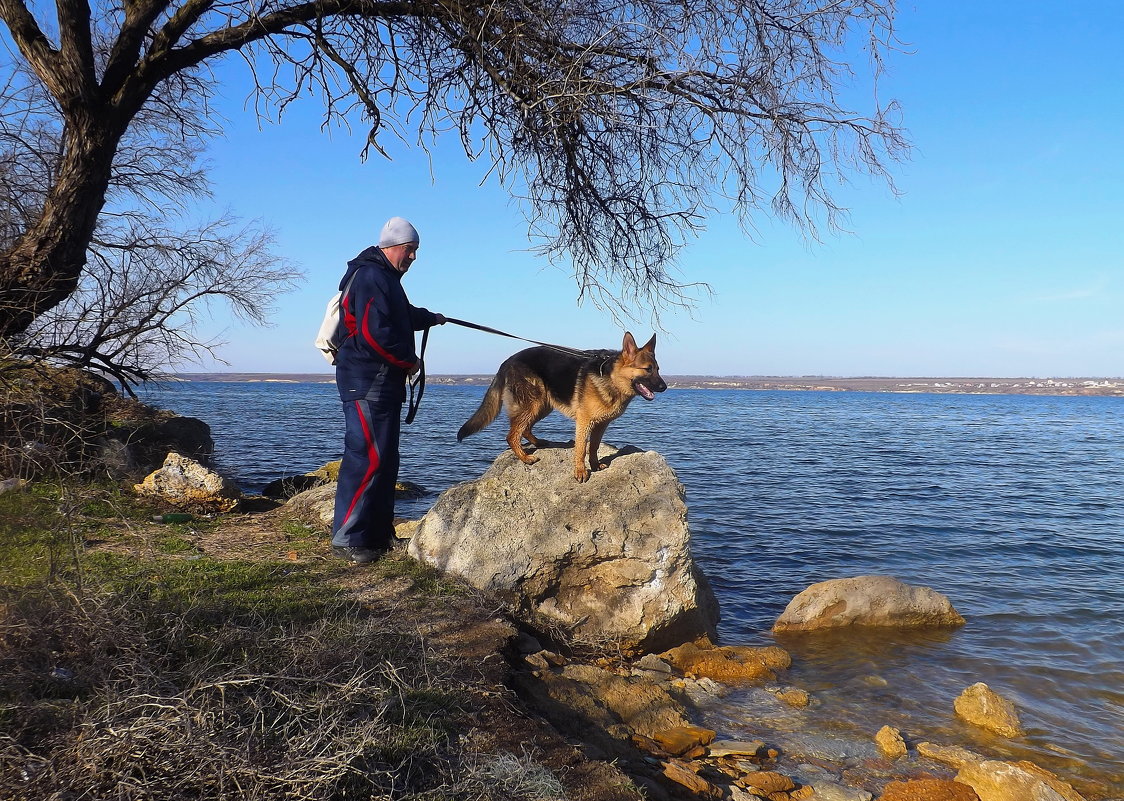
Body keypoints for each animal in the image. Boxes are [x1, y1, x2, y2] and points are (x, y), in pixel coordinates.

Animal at [456, 330, 665, 480]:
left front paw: (595, 465)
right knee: (512, 435)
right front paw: (580, 472)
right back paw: (525, 457)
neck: (612, 378)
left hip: (543, 405)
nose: (664, 387)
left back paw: (537, 443)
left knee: (523, 428)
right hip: (534, 403)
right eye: (647, 369)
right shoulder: (584, 422)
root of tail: (506, 362)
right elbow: (581, 448)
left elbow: (594, 447)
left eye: (658, 369)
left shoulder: (601, 425)